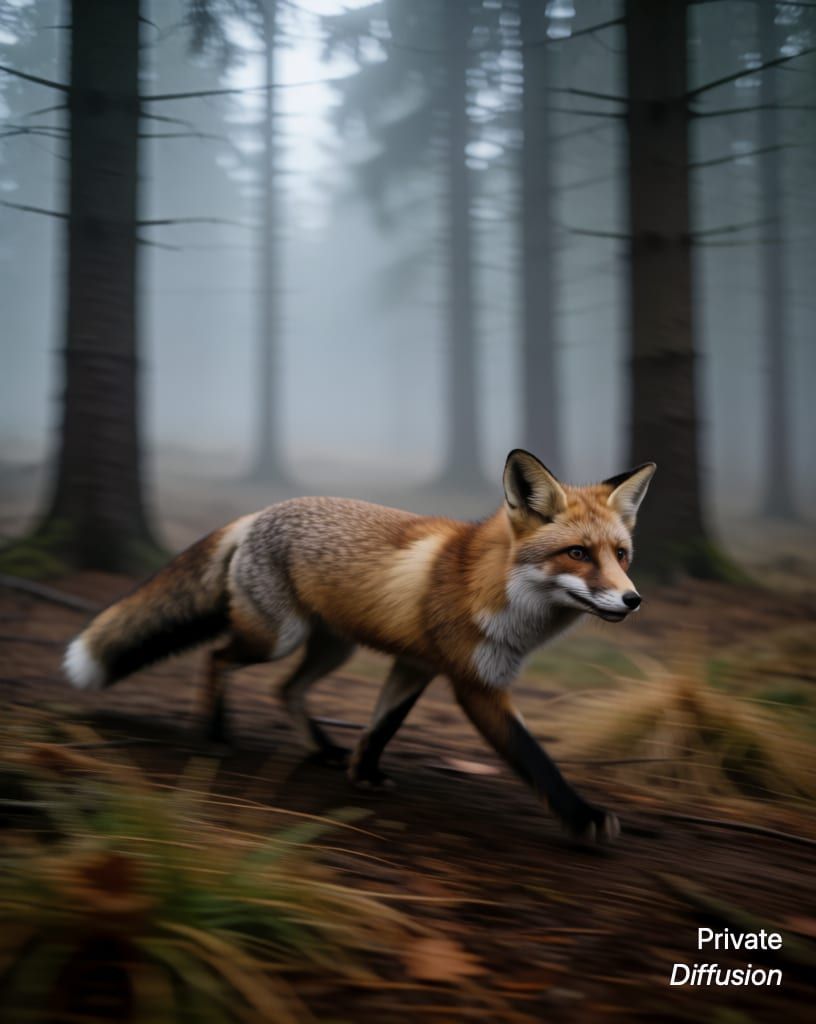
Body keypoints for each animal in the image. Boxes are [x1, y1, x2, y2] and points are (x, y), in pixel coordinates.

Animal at [64, 450, 655, 842]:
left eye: (621, 555)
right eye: (578, 553)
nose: (633, 600)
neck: (494, 590)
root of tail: (259, 514)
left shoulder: (415, 665)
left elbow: (381, 726)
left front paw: (361, 773)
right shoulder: (475, 684)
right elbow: (534, 759)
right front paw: (581, 816)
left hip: (330, 648)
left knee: (285, 690)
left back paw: (321, 748)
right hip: (277, 638)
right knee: (218, 658)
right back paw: (212, 734)